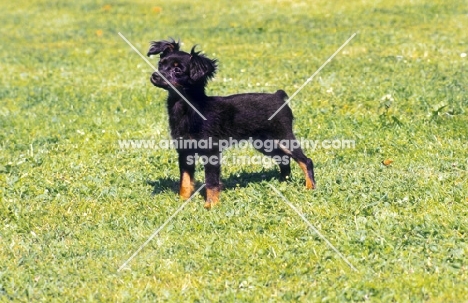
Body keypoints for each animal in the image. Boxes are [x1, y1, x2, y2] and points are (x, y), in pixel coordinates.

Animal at [146, 39, 314, 209]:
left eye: (178, 70)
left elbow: (211, 181)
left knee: (305, 161)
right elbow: (185, 180)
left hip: (283, 138)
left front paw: (210, 205)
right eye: (160, 64)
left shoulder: (211, 153)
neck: (188, 108)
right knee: (284, 159)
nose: (155, 75)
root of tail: (278, 96)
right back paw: (283, 182)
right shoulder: (185, 152)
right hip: (265, 143)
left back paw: (310, 187)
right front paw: (182, 201)